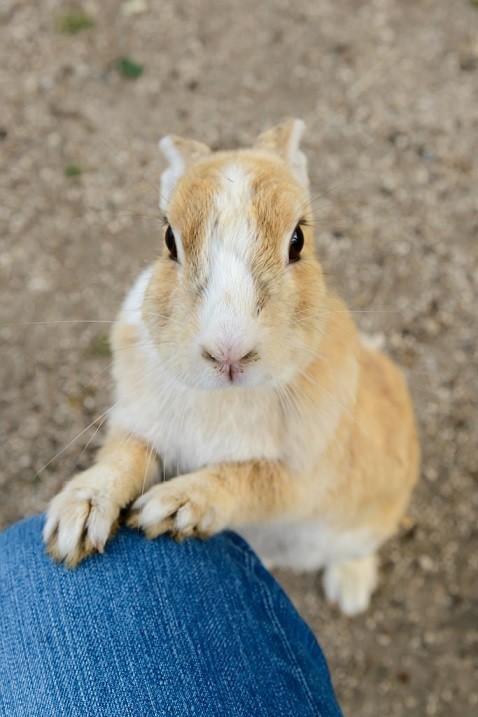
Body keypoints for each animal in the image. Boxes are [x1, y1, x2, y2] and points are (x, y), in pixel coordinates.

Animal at [44, 120, 418, 612]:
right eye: (169, 240)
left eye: (297, 239)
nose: (229, 352)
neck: (224, 396)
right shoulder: (139, 427)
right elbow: (124, 459)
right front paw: (77, 518)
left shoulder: (303, 479)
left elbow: (249, 481)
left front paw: (170, 507)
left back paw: (349, 591)